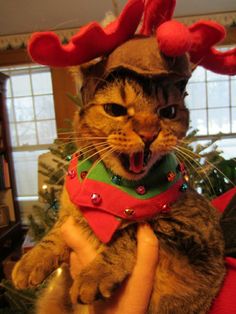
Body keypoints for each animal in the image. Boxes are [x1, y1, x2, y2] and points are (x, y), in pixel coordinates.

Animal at [12, 35, 225, 312]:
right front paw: (32, 260)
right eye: (115, 110)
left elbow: (128, 231)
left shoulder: (190, 228)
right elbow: (56, 231)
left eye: (168, 112)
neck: (111, 191)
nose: (148, 135)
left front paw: (94, 274)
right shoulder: (69, 215)